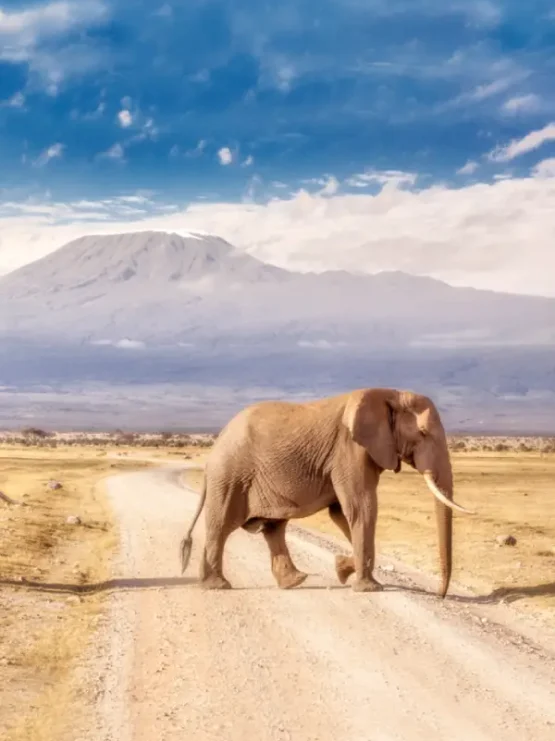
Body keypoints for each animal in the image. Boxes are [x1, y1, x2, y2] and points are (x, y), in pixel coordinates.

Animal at [180, 388, 476, 596]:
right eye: (423, 432)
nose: (440, 596)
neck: (390, 393)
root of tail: (215, 445)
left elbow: (342, 514)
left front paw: (343, 569)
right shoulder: (350, 449)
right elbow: (362, 507)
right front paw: (369, 588)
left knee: (273, 528)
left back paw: (294, 581)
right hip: (230, 477)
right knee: (221, 526)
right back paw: (218, 586)